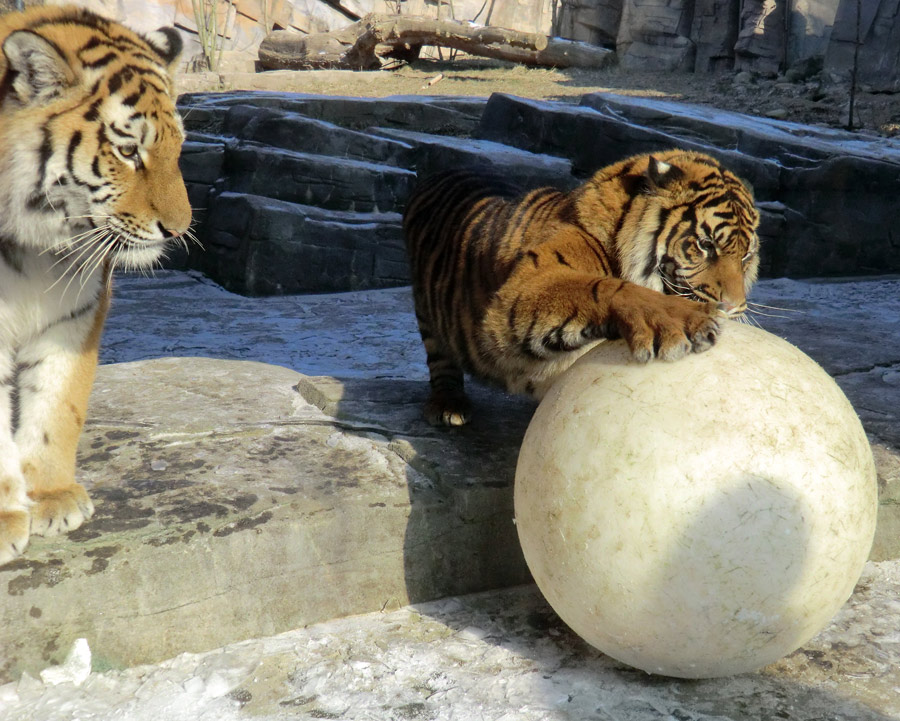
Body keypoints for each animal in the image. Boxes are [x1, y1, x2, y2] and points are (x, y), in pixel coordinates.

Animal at [0, 8, 192, 564]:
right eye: (128, 150)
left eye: (178, 146)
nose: (180, 229)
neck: (34, 246)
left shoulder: (76, 312)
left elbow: (57, 401)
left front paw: (52, 496)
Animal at [404, 149, 764, 424]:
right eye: (705, 245)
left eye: (746, 255)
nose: (732, 307)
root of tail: (444, 169)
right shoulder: (526, 285)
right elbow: (602, 287)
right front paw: (680, 320)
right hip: (427, 314)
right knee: (441, 360)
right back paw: (449, 407)